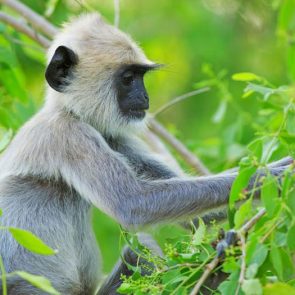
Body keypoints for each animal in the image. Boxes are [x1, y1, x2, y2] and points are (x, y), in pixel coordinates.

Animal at [0, 12, 292, 294]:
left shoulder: (113, 137)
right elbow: (132, 203)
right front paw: (268, 177)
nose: (145, 97)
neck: (70, 112)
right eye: (128, 79)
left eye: (141, 77)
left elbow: (196, 218)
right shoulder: (67, 135)